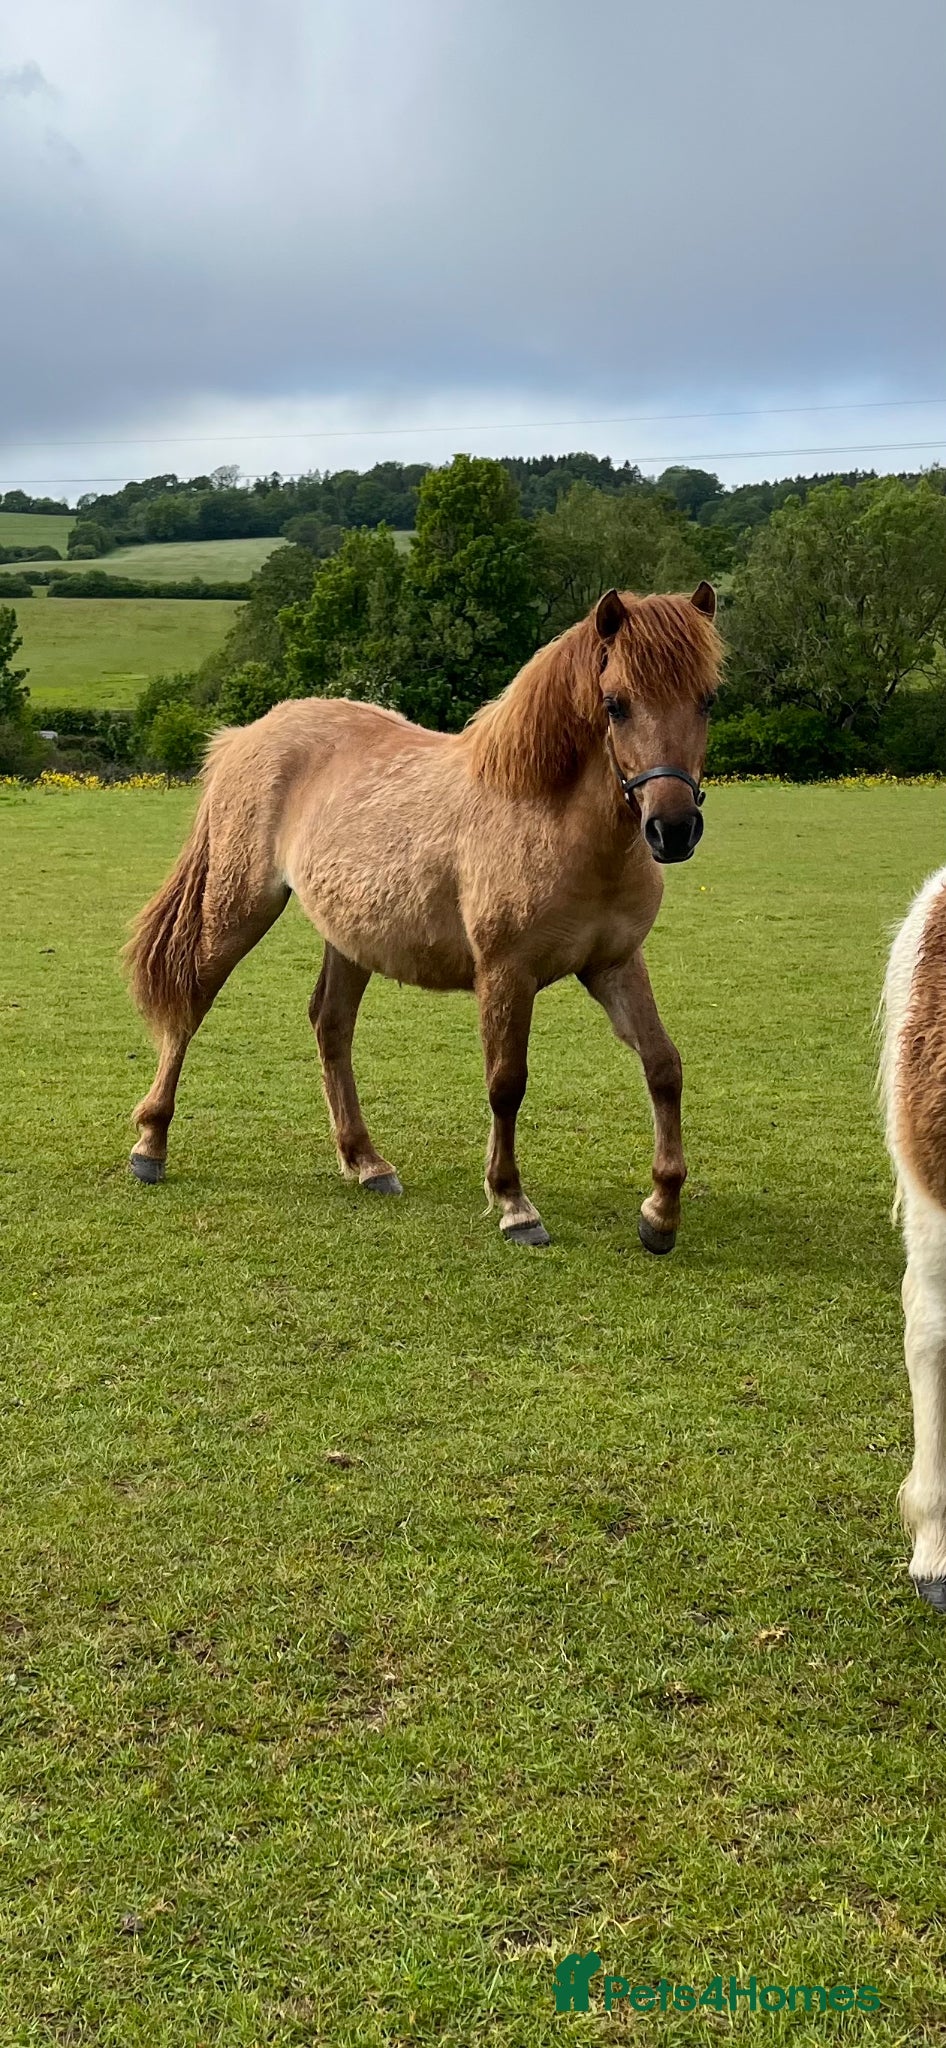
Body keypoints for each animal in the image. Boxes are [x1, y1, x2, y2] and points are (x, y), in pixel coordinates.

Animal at [125, 582, 722, 1250]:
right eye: (615, 704)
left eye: (706, 699)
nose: (672, 829)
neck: (552, 818)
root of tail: (248, 735)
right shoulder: (506, 974)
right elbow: (506, 1083)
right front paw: (513, 1203)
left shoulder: (615, 964)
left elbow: (664, 1067)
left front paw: (661, 1210)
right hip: (238, 909)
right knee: (190, 1003)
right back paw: (150, 1144)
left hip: (348, 938)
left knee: (331, 1026)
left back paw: (365, 1161)